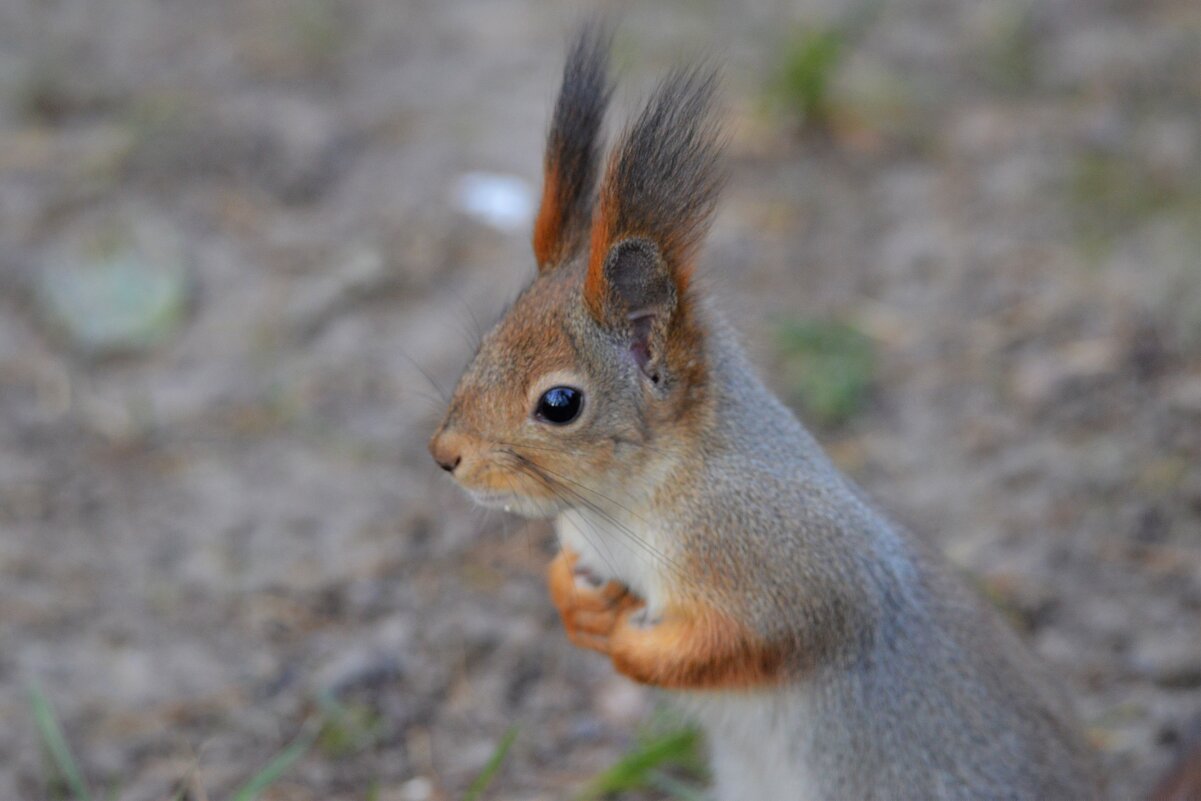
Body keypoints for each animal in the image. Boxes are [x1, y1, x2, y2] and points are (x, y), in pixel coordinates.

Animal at [427, 25, 1196, 801]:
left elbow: (755, 641)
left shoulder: (792, 564)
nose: (444, 454)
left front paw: (631, 647)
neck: (623, 509)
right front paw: (577, 608)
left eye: (560, 404)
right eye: (485, 341)